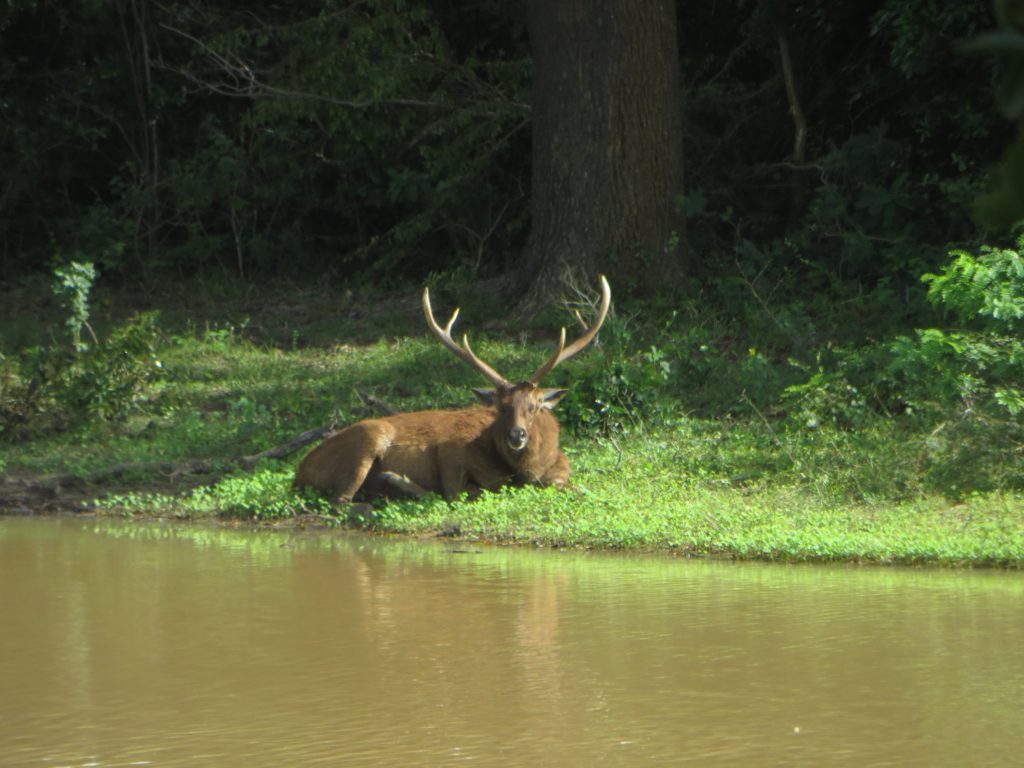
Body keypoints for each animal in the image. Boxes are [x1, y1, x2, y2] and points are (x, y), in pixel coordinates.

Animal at [294, 276, 611, 503]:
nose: (516, 435)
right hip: (367, 438)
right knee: (342, 500)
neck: (527, 471)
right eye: (500, 408)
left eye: (534, 407)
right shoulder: (452, 458)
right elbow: (466, 491)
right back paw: (394, 483)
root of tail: (299, 472)